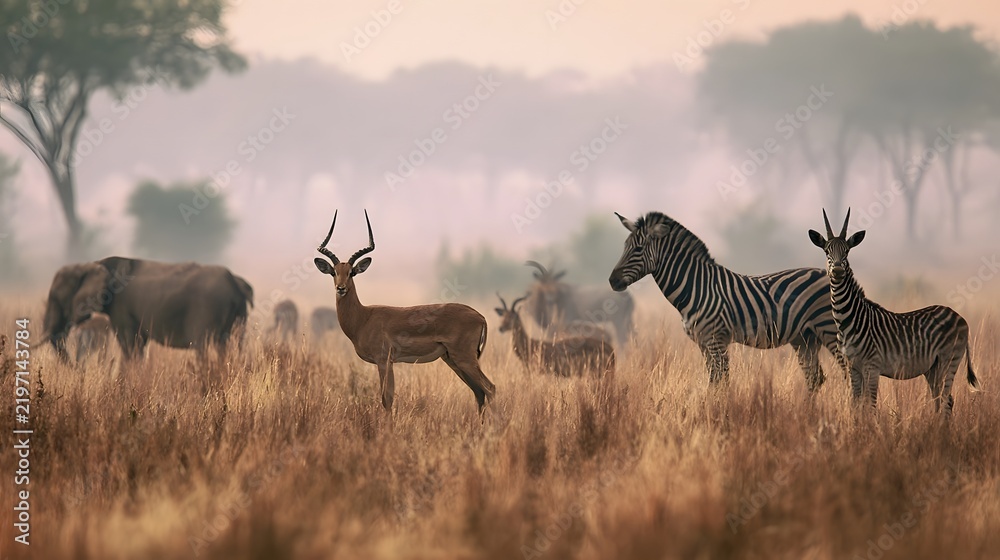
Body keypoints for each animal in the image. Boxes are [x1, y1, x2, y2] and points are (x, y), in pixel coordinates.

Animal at [42, 256, 254, 360]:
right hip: (239, 315)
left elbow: (130, 345)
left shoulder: (121, 307)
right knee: (230, 346)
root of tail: (236, 283)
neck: (93, 264)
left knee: (204, 347)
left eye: (57, 298)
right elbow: (138, 344)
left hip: (207, 311)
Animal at [608, 211, 847, 391]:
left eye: (638, 249)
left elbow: (720, 383)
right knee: (815, 378)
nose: (612, 281)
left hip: (830, 331)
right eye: (624, 246)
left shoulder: (716, 340)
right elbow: (714, 382)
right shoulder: (704, 343)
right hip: (805, 338)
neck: (697, 286)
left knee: (850, 372)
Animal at [808, 208, 980, 414]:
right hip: (933, 367)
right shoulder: (853, 368)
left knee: (945, 400)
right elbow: (856, 406)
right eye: (826, 251)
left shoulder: (872, 367)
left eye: (847, 251)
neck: (848, 320)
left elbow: (871, 406)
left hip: (949, 360)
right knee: (942, 400)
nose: (838, 270)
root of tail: (960, 317)